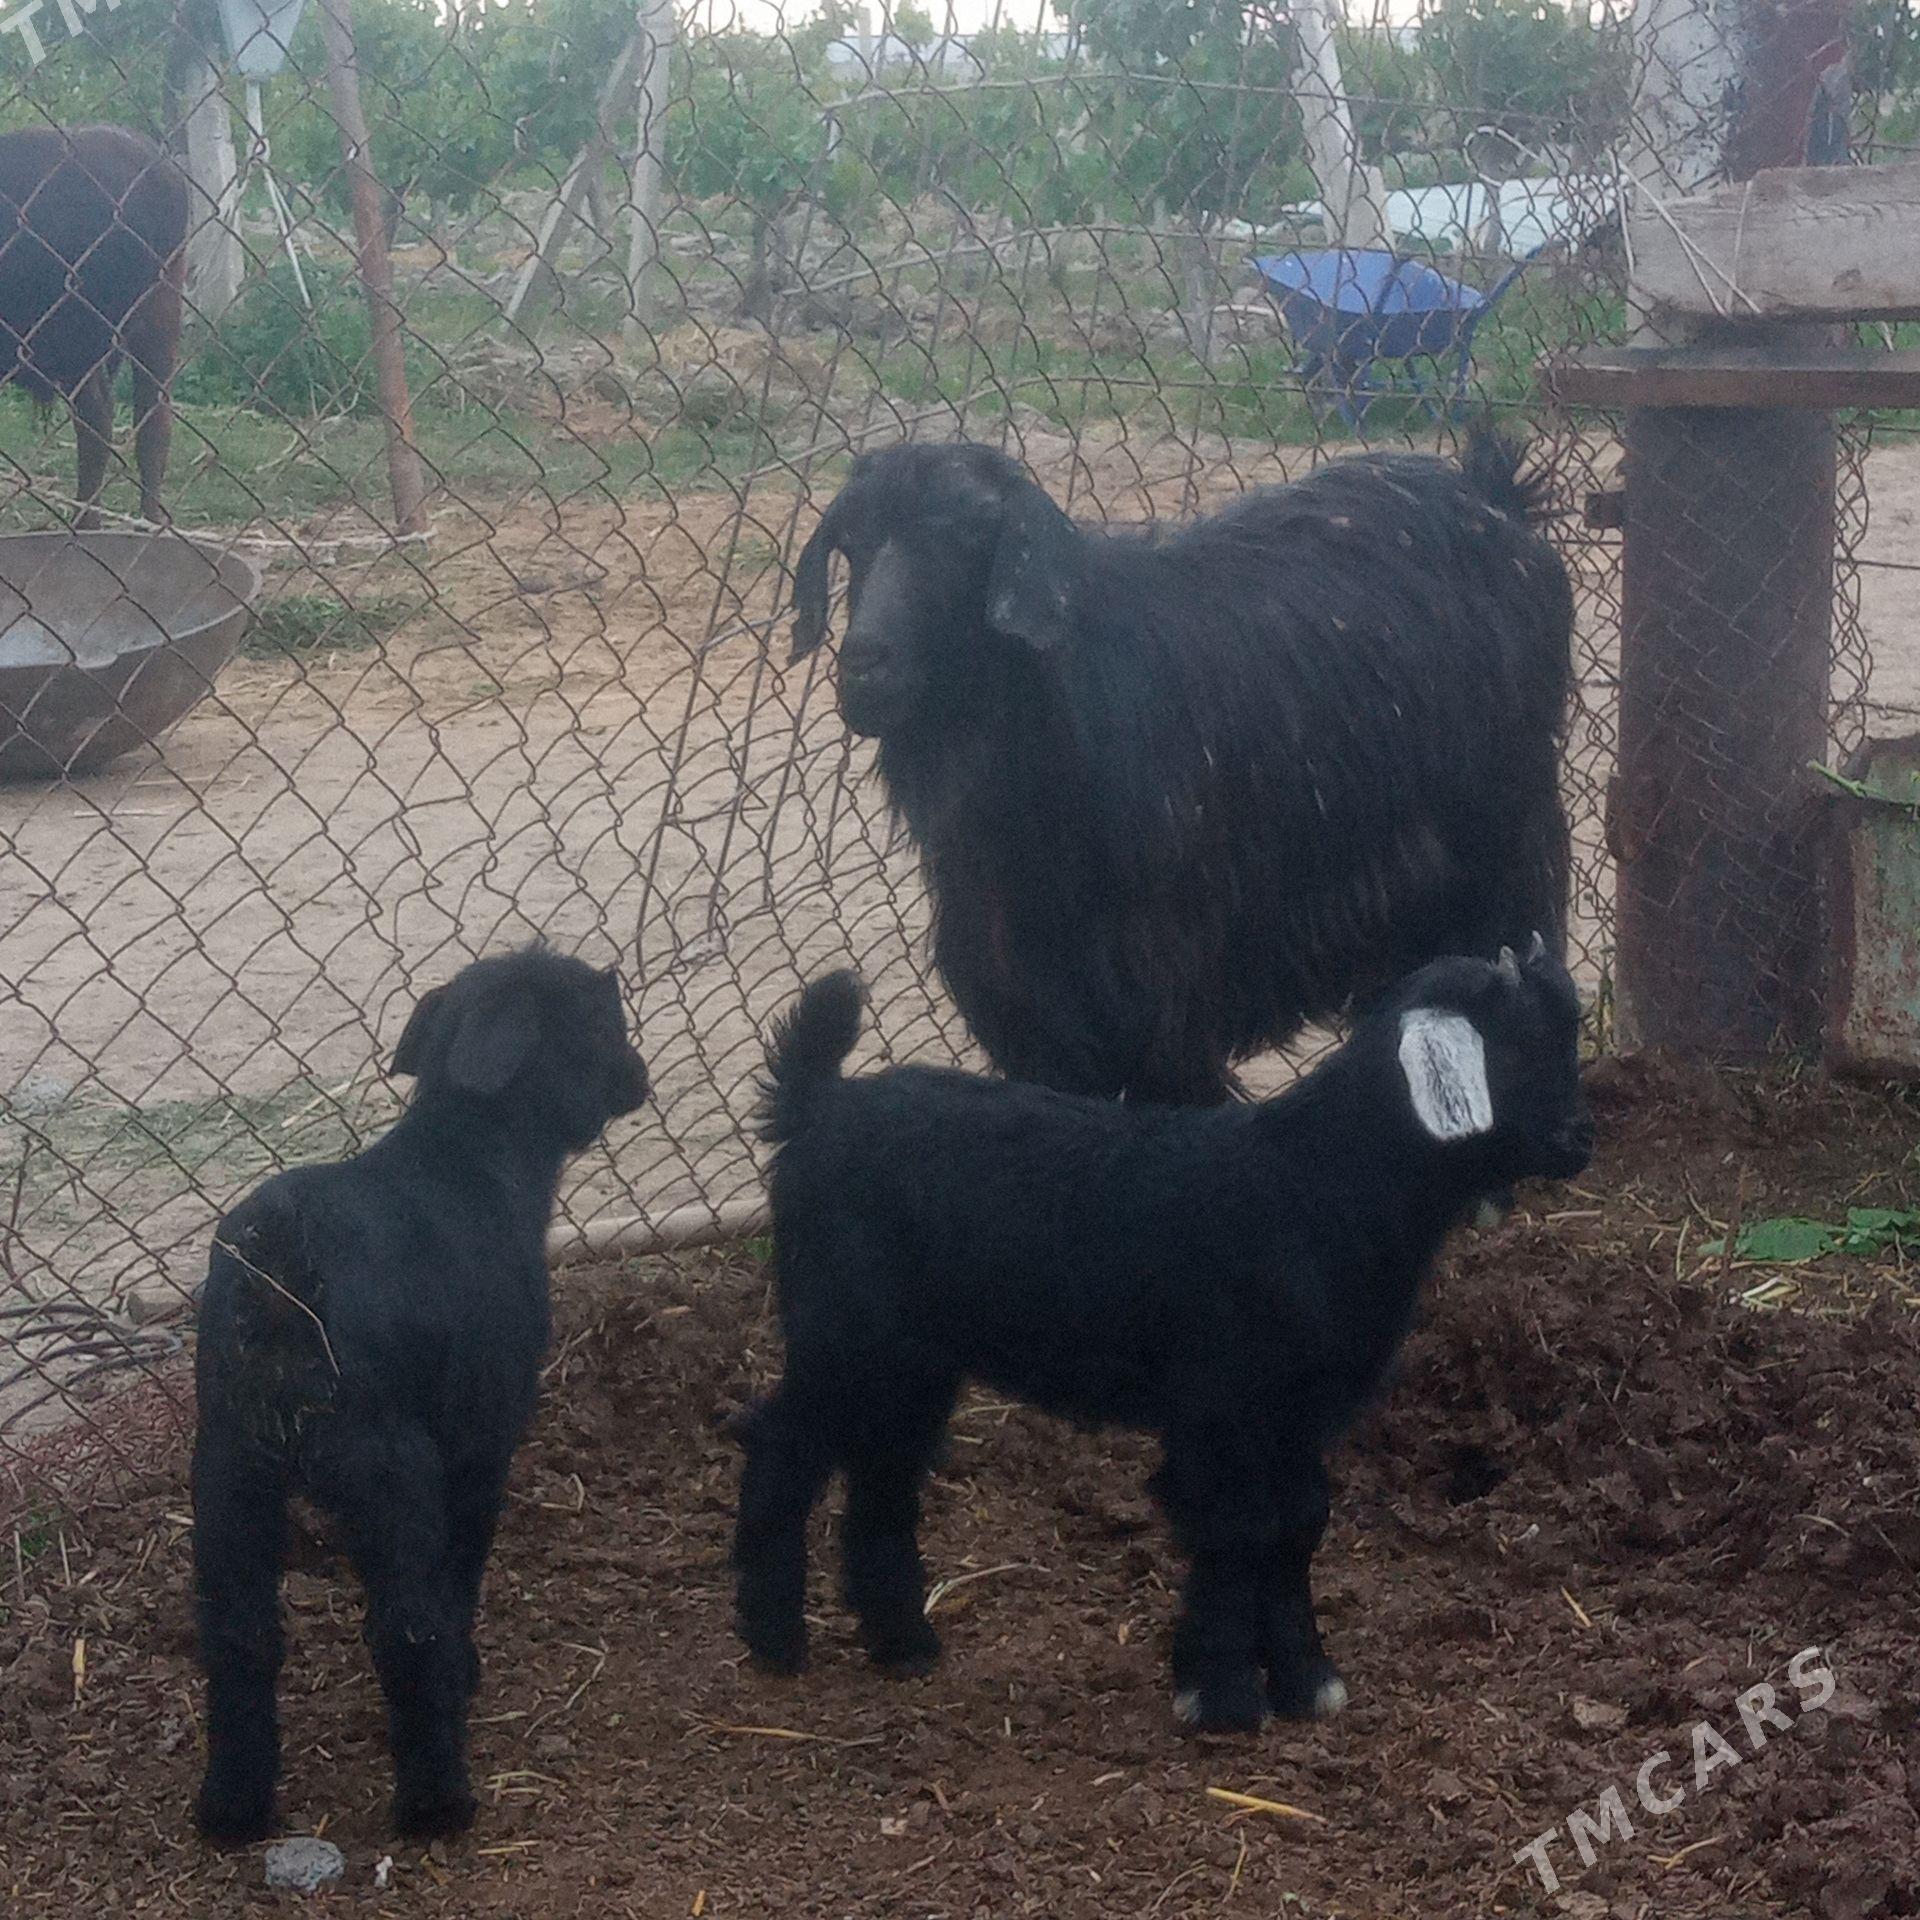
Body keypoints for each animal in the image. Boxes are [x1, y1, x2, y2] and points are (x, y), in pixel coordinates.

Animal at [192, 948, 650, 1844]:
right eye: (599, 1019)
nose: (638, 1077)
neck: (474, 1155)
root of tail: (283, 1278)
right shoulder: (478, 1441)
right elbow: (459, 1573)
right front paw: (465, 1674)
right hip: (386, 1467)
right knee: (406, 1626)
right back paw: (438, 1802)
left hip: (228, 1473)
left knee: (239, 1636)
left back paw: (232, 1809)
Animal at [734, 937, 1592, 1731]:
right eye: (1518, 1044)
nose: (1580, 1142)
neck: (1313, 1189)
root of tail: (819, 1107)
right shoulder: (1219, 1406)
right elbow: (1237, 1529)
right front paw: (1221, 1697)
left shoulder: (1296, 1415)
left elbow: (1298, 1523)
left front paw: (1307, 1680)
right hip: (847, 1331)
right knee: (784, 1446)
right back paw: (774, 1638)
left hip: (913, 1361)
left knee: (884, 1474)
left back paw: (904, 1642)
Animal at [787, 434, 1574, 1105]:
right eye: (850, 544)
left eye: (969, 533)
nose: (864, 668)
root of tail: (1492, 492)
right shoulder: (1031, 1005)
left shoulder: (1158, 994)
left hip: (1505, 832)